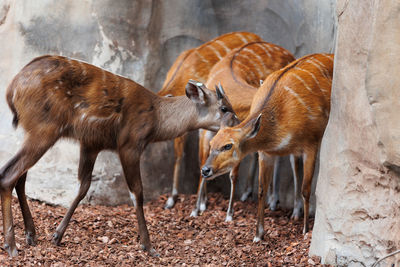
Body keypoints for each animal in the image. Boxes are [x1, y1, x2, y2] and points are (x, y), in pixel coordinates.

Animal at [0, 54, 234, 258]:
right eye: (224, 108)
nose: (237, 122)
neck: (156, 117)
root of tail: (12, 89)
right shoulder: (129, 145)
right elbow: (137, 192)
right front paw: (148, 247)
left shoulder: (91, 144)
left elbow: (83, 185)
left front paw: (57, 236)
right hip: (45, 130)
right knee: (9, 174)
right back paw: (11, 246)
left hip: (35, 132)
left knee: (20, 176)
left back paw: (31, 235)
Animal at [189, 42, 296, 222]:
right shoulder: (207, 134)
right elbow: (202, 161)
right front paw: (198, 208)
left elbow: (233, 174)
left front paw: (229, 214)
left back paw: (273, 201)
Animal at [200, 53, 334, 242]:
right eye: (212, 144)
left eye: (228, 146)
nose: (205, 170)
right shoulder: (266, 153)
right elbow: (262, 189)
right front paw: (258, 235)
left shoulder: (311, 143)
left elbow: (306, 189)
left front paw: (305, 230)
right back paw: (294, 213)